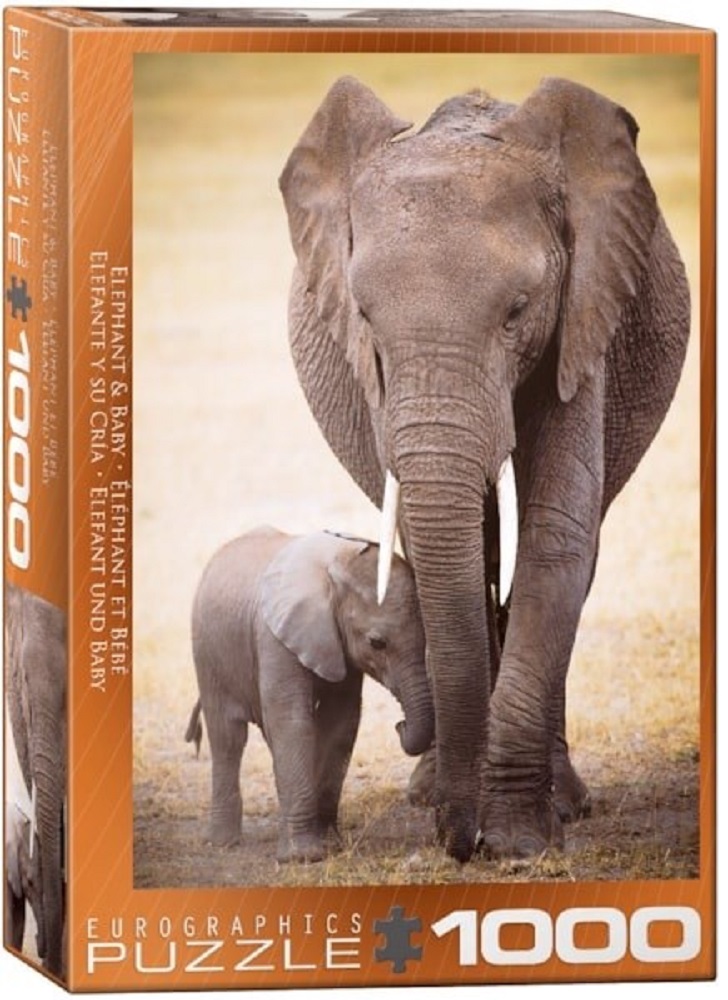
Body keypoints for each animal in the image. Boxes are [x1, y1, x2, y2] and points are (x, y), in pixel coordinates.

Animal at [186, 526, 433, 863]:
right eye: (377, 643)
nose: (400, 725)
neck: (336, 565)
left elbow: (341, 722)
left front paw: (329, 844)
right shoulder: (274, 637)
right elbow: (292, 722)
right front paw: (302, 857)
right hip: (207, 653)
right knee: (228, 737)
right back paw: (222, 842)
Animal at [279, 76, 690, 862]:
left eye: (518, 311)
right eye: (365, 318)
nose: (457, 841)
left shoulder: (584, 315)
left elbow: (556, 536)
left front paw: (520, 840)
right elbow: (441, 538)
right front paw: (466, 814)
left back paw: (564, 801)